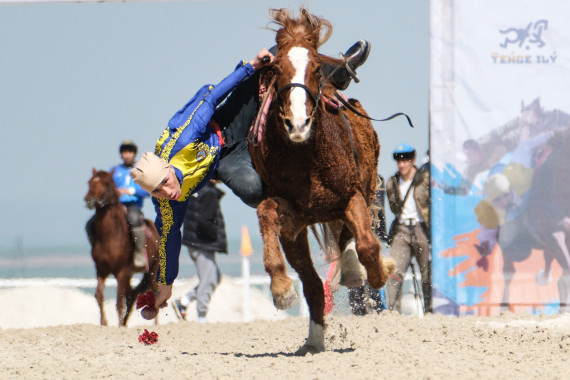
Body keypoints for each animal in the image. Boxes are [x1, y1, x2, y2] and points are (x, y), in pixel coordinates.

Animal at [82, 169, 159, 326]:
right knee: (131, 296)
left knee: (154, 294)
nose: (89, 200)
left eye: (106, 183)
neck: (109, 237)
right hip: (131, 274)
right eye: (90, 182)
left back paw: (156, 324)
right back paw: (124, 323)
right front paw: (104, 323)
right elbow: (99, 295)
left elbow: (118, 301)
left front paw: (117, 325)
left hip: (153, 271)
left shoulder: (121, 272)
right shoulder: (101, 270)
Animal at [248, 7, 390, 354]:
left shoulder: (352, 196)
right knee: (312, 283)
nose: (297, 123)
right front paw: (282, 289)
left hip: (363, 191)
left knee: (351, 239)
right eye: (277, 69)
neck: (307, 156)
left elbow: (367, 244)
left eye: (315, 68)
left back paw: (353, 270)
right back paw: (313, 340)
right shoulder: (294, 215)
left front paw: (377, 274)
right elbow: (267, 212)